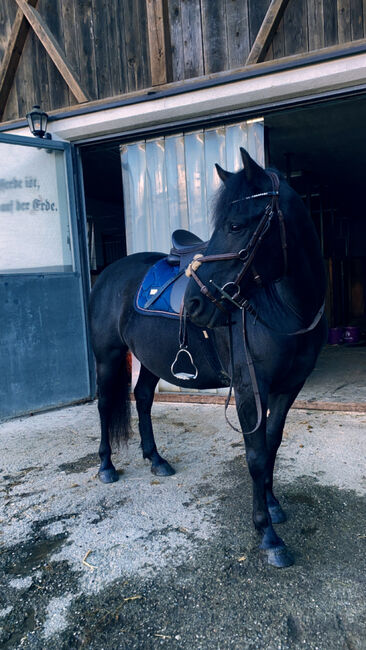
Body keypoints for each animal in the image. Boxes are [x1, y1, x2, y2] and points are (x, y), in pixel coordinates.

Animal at [90, 149, 328, 564]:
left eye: (235, 225)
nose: (195, 304)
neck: (285, 309)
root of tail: (108, 272)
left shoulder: (289, 387)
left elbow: (273, 443)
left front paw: (274, 505)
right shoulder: (251, 389)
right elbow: (256, 454)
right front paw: (268, 535)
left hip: (151, 360)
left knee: (143, 398)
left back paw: (156, 459)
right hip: (108, 357)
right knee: (106, 405)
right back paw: (106, 465)